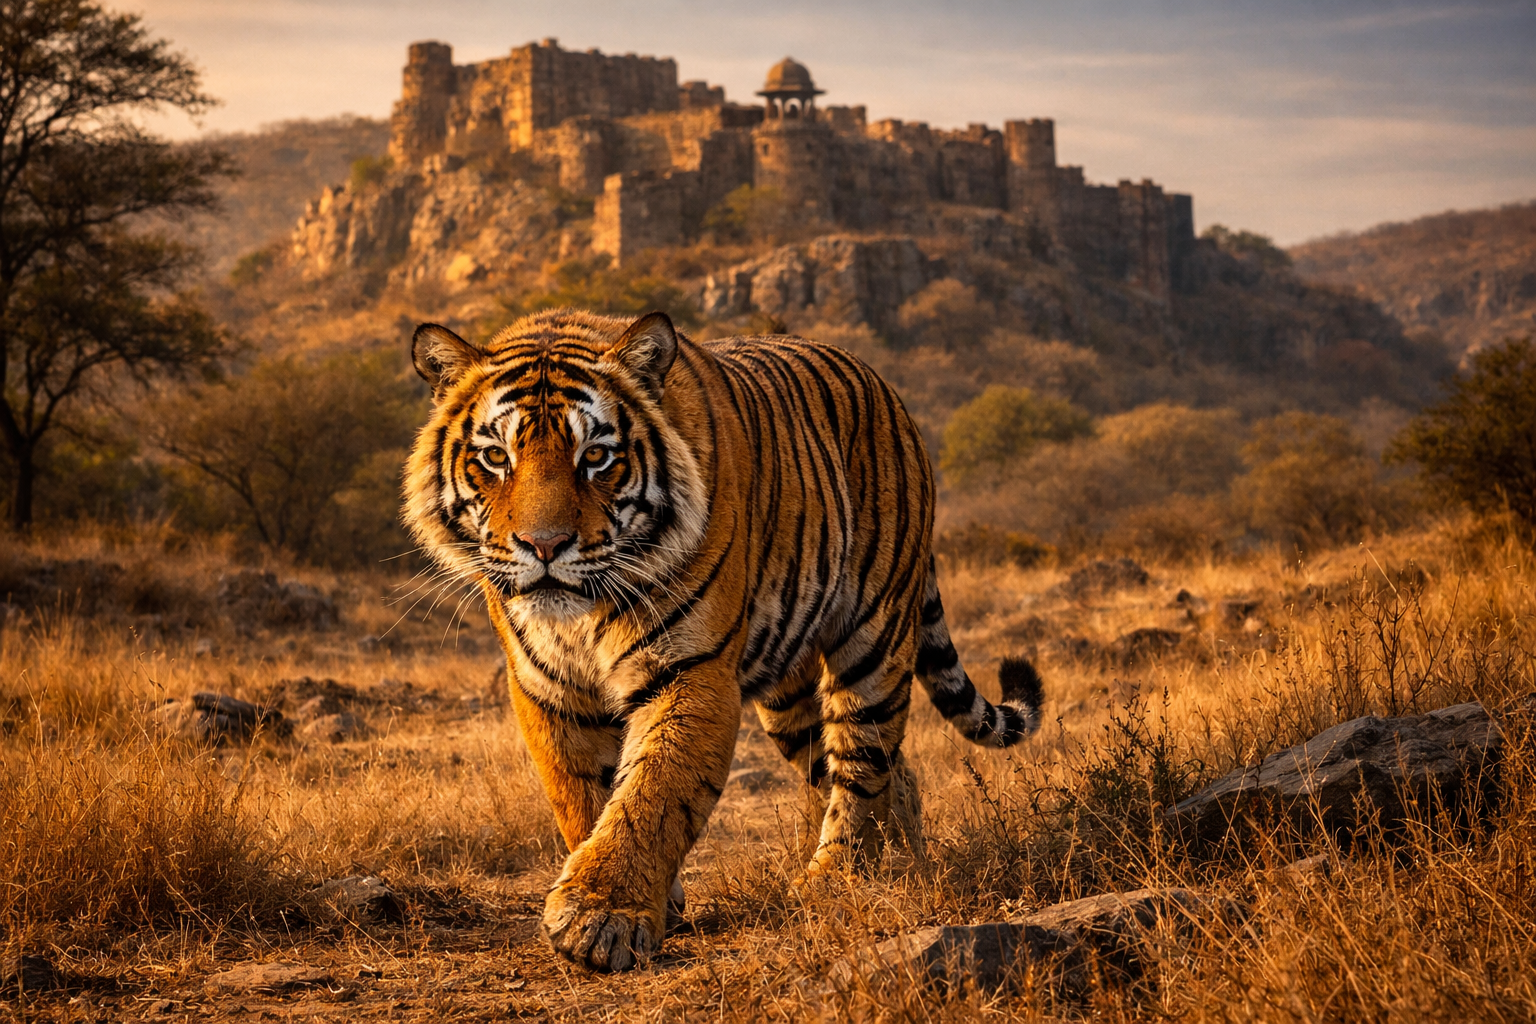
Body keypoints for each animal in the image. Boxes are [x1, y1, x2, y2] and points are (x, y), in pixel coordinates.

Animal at [403, 308, 1044, 973]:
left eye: (596, 456)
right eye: (495, 457)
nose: (545, 545)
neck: (581, 617)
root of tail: (886, 389)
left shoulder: (691, 672)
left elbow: (652, 793)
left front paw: (601, 915)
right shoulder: (548, 688)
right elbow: (581, 798)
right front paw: (645, 901)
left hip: (874, 639)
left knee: (863, 764)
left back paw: (838, 880)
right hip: (788, 699)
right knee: (881, 770)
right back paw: (902, 865)